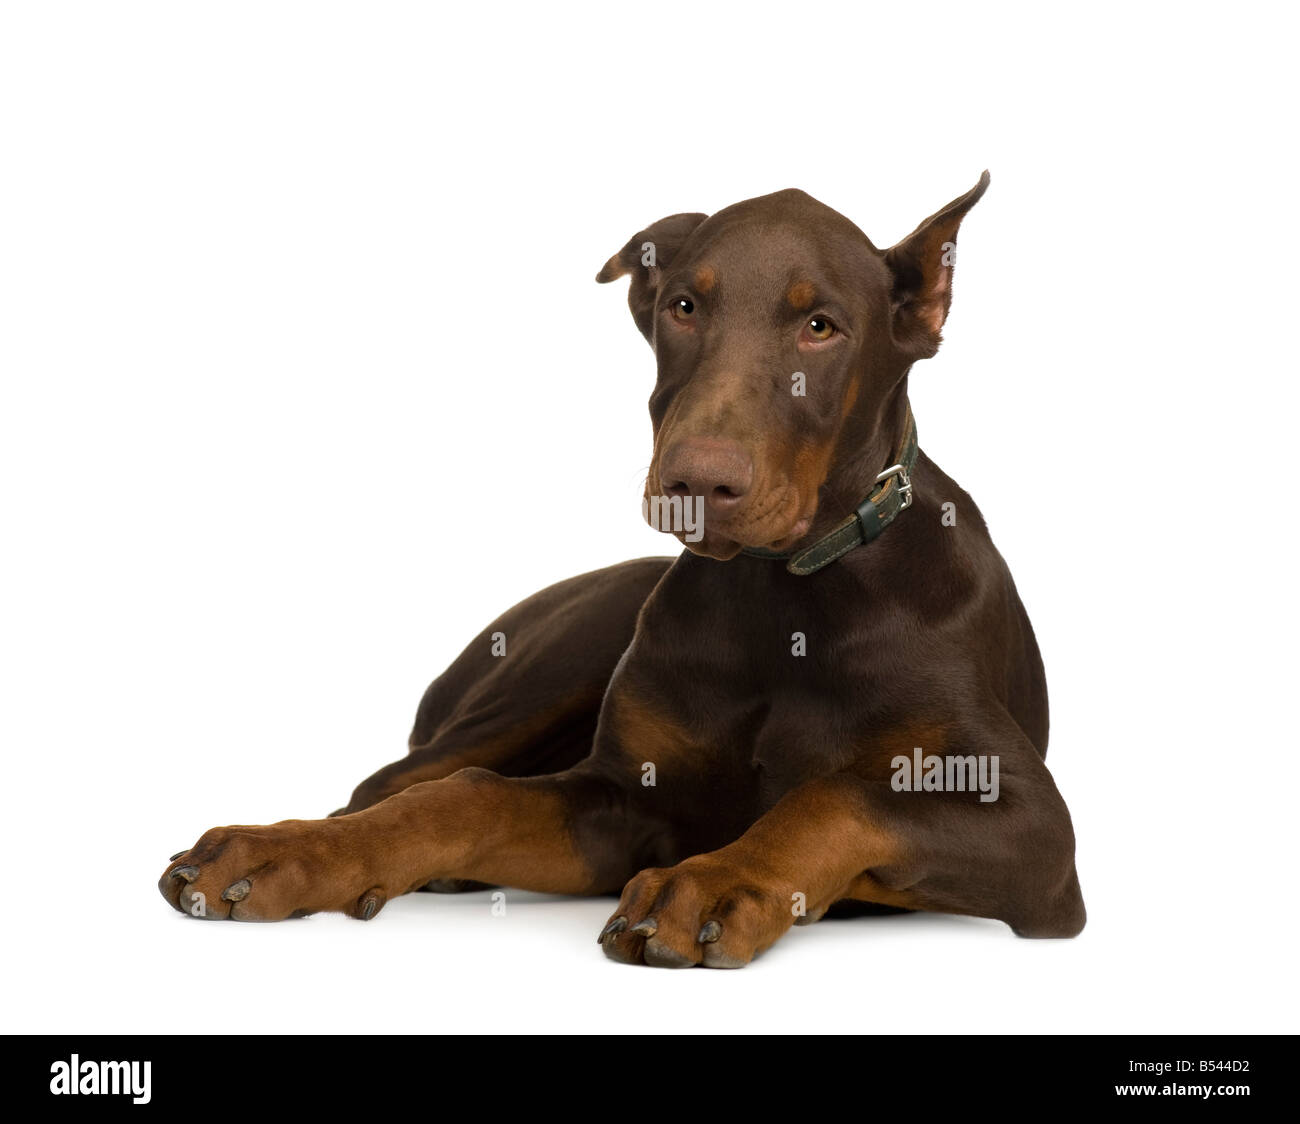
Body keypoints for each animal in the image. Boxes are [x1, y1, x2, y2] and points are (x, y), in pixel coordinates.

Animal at [157, 175, 1086, 966]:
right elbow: (465, 796)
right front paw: (293, 855)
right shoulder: (622, 797)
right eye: (683, 306)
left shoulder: (1029, 824)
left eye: (821, 326)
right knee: (396, 781)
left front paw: (717, 880)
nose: (698, 483)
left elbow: (836, 796)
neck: (783, 596)